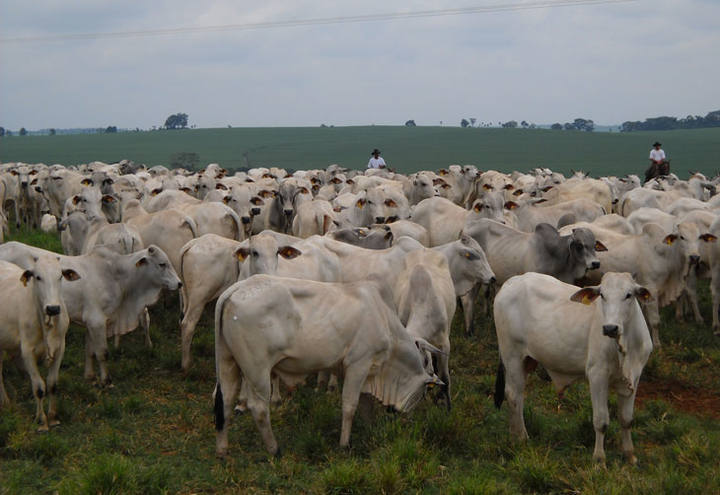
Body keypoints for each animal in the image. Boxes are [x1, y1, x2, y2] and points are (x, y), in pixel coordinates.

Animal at [0, 256, 81, 430]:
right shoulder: (27, 351)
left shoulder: (60, 348)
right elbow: (38, 387)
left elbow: (52, 384)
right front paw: (42, 421)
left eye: (60, 276)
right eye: (38, 277)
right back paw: (5, 400)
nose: (53, 308)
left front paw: (53, 417)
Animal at [211, 276, 442, 458]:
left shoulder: (365, 371)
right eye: (423, 393)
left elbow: (365, 405)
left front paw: (370, 430)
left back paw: (222, 450)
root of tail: (235, 289)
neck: (384, 319)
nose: (406, 420)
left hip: (228, 362)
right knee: (258, 408)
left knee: (226, 401)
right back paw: (274, 450)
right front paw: (344, 444)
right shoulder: (359, 364)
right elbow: (350, 405)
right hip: (257, 371)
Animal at [496, 272, 652, 464]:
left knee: (517, 395)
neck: (626, 347)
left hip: (526, 361)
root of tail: (512, 282)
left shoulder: (634, 377)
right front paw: (599, 460)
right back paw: (522, 438)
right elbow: (601, 421)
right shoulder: (597, 375)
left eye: (629, 295)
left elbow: (626, 419)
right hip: (511, 356)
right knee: (513, 395)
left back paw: (515, 436)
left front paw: (629, 455)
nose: (610, 328)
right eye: (602, 295)